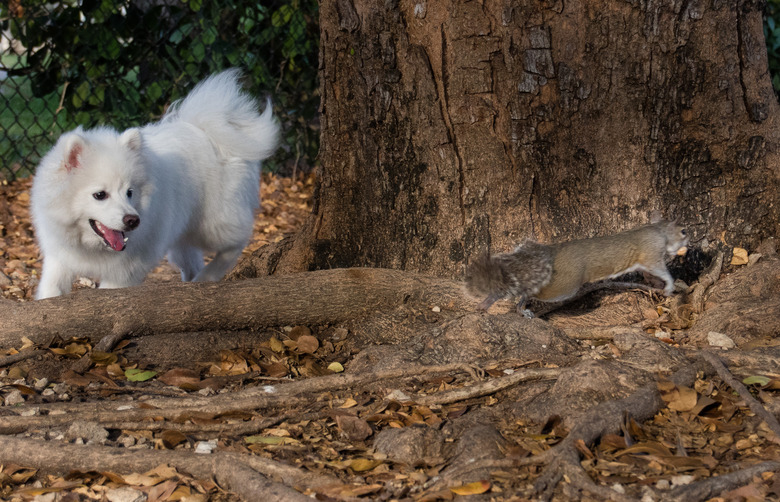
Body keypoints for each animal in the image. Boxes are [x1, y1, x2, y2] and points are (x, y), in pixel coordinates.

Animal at [31, 69, 280, 298]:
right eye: (100, 195)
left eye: (129, 192)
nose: (133, 220)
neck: (90, 246)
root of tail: (205, 130)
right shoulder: (59, 261)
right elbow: (51, 292)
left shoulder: (121, 274)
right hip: (184, 235)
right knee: (192, 262)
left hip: (214, 224)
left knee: (236, 242)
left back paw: (208, 277)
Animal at [464, 221, 688, 314]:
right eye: (683, 231)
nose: (690, 237)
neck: (659, 231)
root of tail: (551, 252)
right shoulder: (651, 254)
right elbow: (661, 270)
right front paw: (669, 285)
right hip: (564, 286)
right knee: (528, 291)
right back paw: (517, 306)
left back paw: (487, 304)